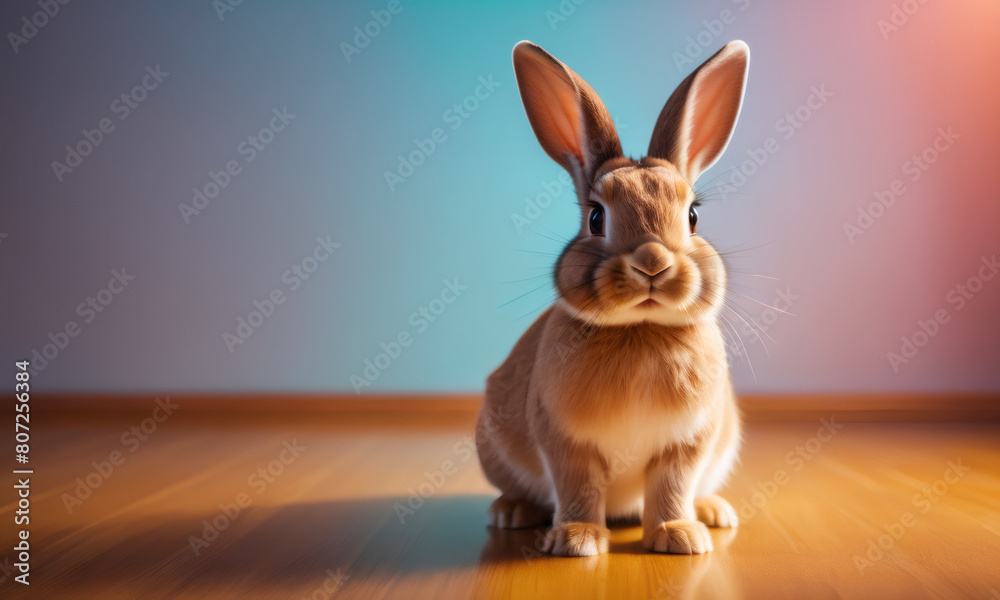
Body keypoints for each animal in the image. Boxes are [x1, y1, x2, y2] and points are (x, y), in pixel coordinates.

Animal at [475, 39, 750, 557]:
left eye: (694, 216)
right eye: (596, 217)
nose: (652, 263)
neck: (639, 330)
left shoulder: (686, 444)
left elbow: (672, 486)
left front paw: (679, 537)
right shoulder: (566, 442)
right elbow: (578, 486)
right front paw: (578, 540)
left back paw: (712, 513)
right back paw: (512, 512)